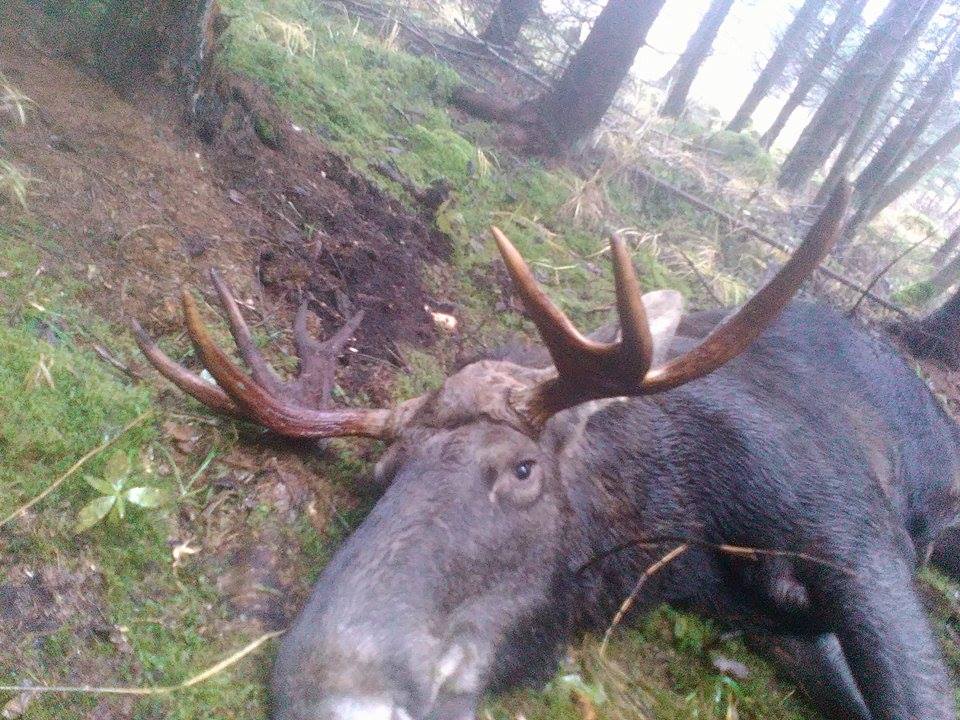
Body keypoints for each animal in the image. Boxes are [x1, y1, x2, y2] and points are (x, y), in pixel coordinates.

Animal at [133, 181, 960, 720]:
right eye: (382, 476)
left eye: (523, 469)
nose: (329, 694)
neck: (681, 520)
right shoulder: (770, 622)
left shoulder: (852, 530)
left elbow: (916, 693)